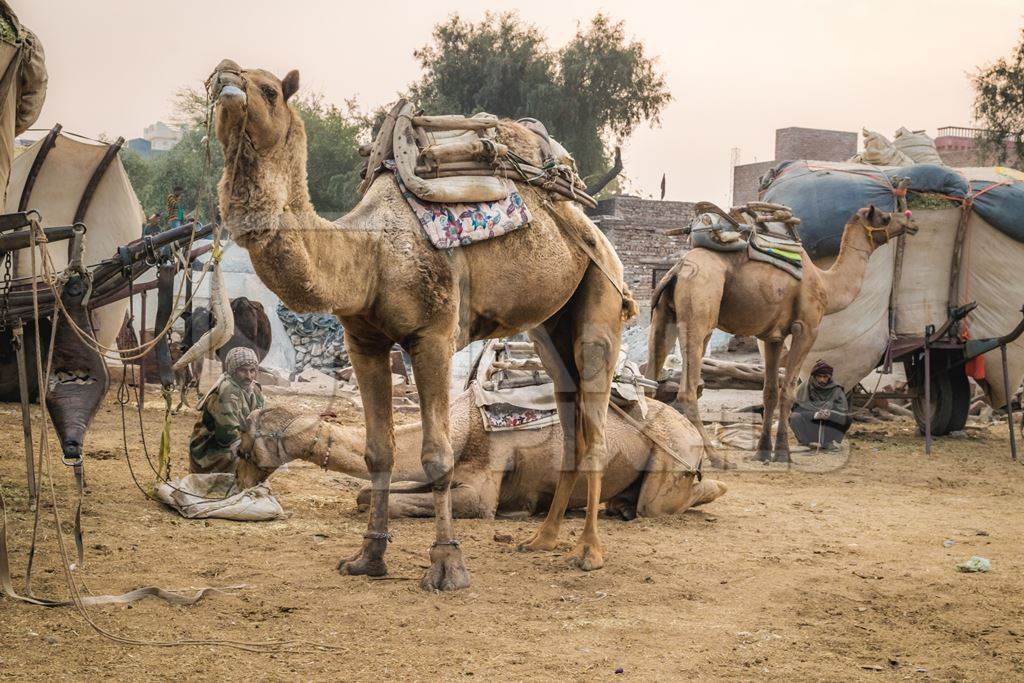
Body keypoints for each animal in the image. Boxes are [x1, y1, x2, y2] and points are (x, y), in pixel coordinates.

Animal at [210, 61, 634, 589]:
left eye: (268, 89)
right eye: (217, 80)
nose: (226, 80)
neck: (368, 252)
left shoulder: (432, 339)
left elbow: (437, 456)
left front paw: (447, 565)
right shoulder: (364, 343)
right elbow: (379, 451)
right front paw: (368, 557)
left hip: (601, 297)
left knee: (595, 418)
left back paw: (588, 551)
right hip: (550, 324)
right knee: (568, 404)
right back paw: (543, 539)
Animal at [237, 389, 729, 518]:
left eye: (244, 441)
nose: (238, 476)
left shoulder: (483, 482)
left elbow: (473, 503)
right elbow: (368, 495)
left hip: (673, 457)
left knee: (661, 503)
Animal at [643, 206, 917, 464]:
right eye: (884, 217)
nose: (911, 221)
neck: (825, 283)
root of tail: (678, 269)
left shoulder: (772, 337)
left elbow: (770, 393)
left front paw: (763, 453)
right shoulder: (806, 328)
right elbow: (788, 391)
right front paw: (784, 453)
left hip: (663, 315)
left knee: (649, 383)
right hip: (699, 309)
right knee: (687, 391)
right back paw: (717, 460)